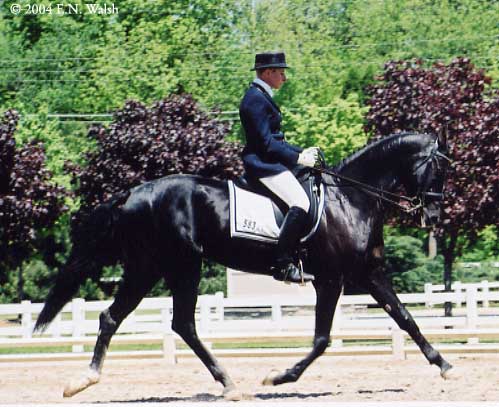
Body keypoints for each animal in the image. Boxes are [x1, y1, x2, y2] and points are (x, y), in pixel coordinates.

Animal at [34, 132, 454, 400]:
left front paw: (444, 364)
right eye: (438, 170)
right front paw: (278, 377)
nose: (433, 217)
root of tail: (133, 193)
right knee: (136, 319)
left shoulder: (369, 273)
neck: (350, 198)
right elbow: (322, 339)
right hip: (164, 266)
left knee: (165, 322)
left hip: (165, 267)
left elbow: (406, 318)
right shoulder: (331, 280)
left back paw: (224, 383)